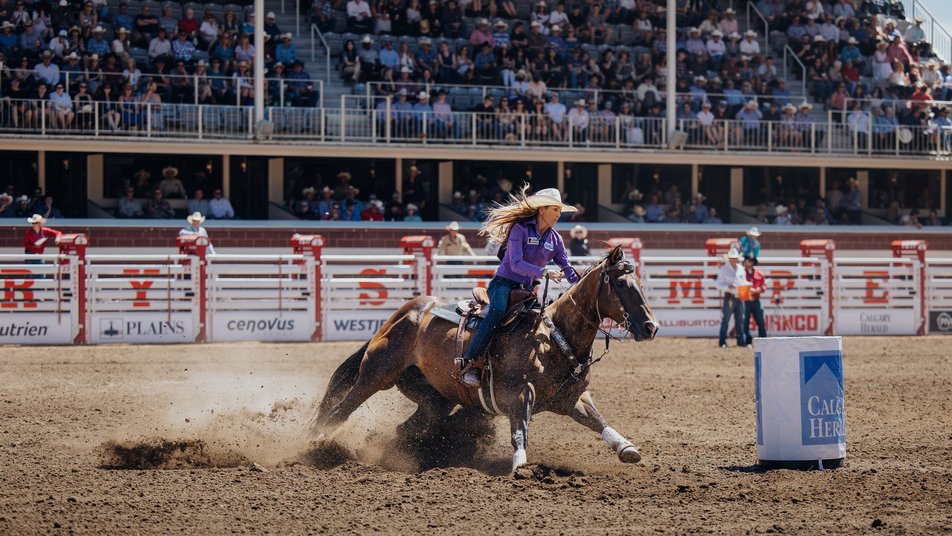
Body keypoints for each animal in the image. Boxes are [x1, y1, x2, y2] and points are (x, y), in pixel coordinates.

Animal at [308, 245, 660, 472]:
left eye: (641, 283)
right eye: (619, 283)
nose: (650, 326)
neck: (552, 339)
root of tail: (405, 312)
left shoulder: (572, 397)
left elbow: (599, 420)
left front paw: (627, 448)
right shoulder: (519, 393)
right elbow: (520, 429)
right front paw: (520, 465)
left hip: (434, 399)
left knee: (408, 426)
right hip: (376, 374)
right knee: (340, 410)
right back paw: (318, 444)